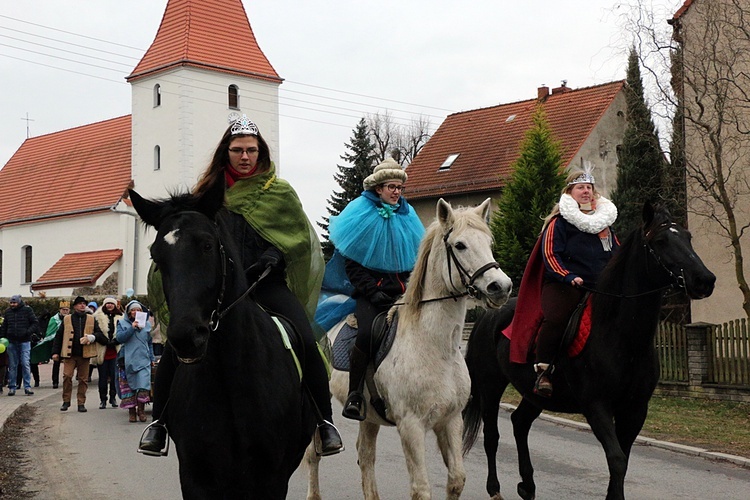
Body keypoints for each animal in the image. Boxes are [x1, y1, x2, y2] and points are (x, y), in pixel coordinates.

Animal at [306, 199, 512, 500]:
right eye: (460, 245)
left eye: (489, 242)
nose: (502, 287)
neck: (436, 347)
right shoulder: (411, 426)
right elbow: (421, 488)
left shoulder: (450, 420)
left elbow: (456, 479)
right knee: (314, 454)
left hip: (369, 417)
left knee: (365, 456)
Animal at [464, 204, 716, 500]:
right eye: (661, 241)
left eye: (688, 237)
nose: (704, 280)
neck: (620, 335)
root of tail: (487, 316)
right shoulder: (597, 406)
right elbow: (616, 460)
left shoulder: (636, 409)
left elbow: (623, 459)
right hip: (490, 386)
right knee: (492, 436)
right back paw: (495, 489)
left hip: (533, 393)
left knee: (519, 422)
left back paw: (527, 485)